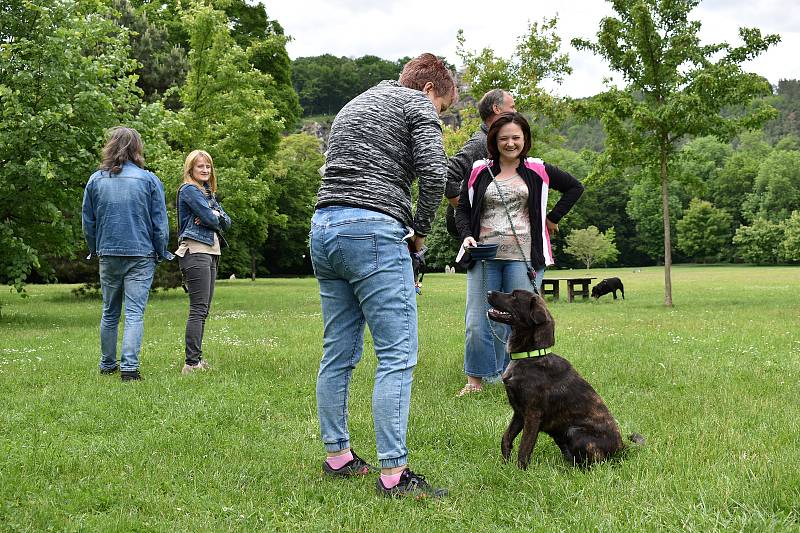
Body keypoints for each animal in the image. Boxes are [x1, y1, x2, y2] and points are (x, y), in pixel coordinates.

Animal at [484, 288, 640, 468]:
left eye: (514, 296)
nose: (488, 292)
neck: (530, 356)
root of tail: (622, 448)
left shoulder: (532, 414)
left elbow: (524, 448)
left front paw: (518, 471)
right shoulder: (519, 413)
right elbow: (506, 438)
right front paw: (504, 465)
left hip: (574, 432)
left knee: (596, 463)